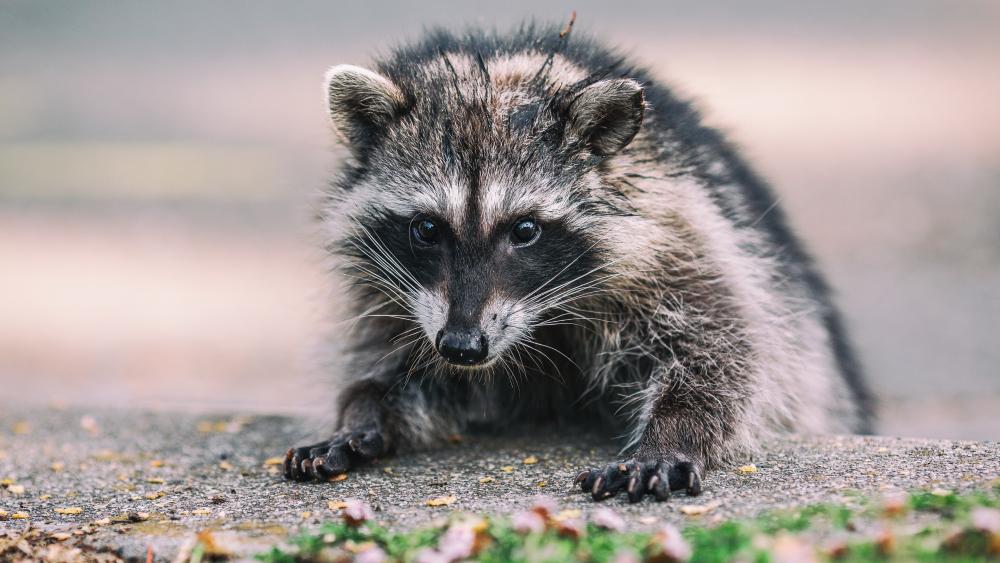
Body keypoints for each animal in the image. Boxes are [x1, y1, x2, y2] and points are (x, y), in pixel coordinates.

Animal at [283, 23, 874, 502]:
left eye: (525, 230)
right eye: (427, 229)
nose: (462, 346)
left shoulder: (684, 240)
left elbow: (722, 352)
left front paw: (672, 431)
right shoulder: (396, 293)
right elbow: (398, 364)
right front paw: (363, 408)